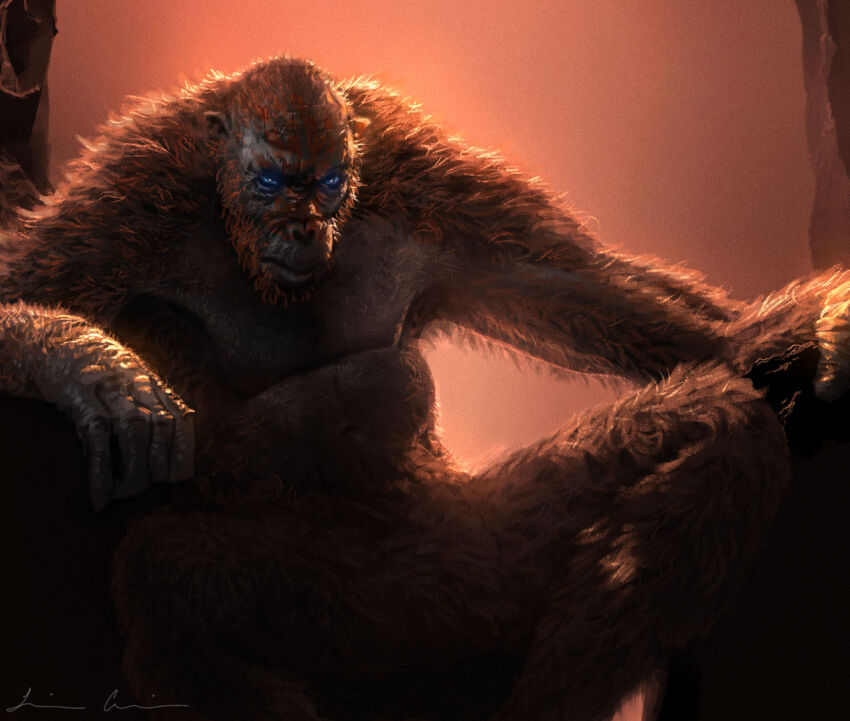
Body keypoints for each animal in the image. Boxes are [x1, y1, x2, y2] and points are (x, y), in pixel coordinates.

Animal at [1, 56, 849, 720]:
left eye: (329, 183)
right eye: (272, 181)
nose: (305, 228)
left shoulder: (428, 181)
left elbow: (582, 289)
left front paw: (815, 323)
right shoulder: (128, 197)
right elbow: (28, 288)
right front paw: (89, 366)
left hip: (480, 550)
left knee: (715, 426)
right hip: (360, 605)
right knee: (169, 578)